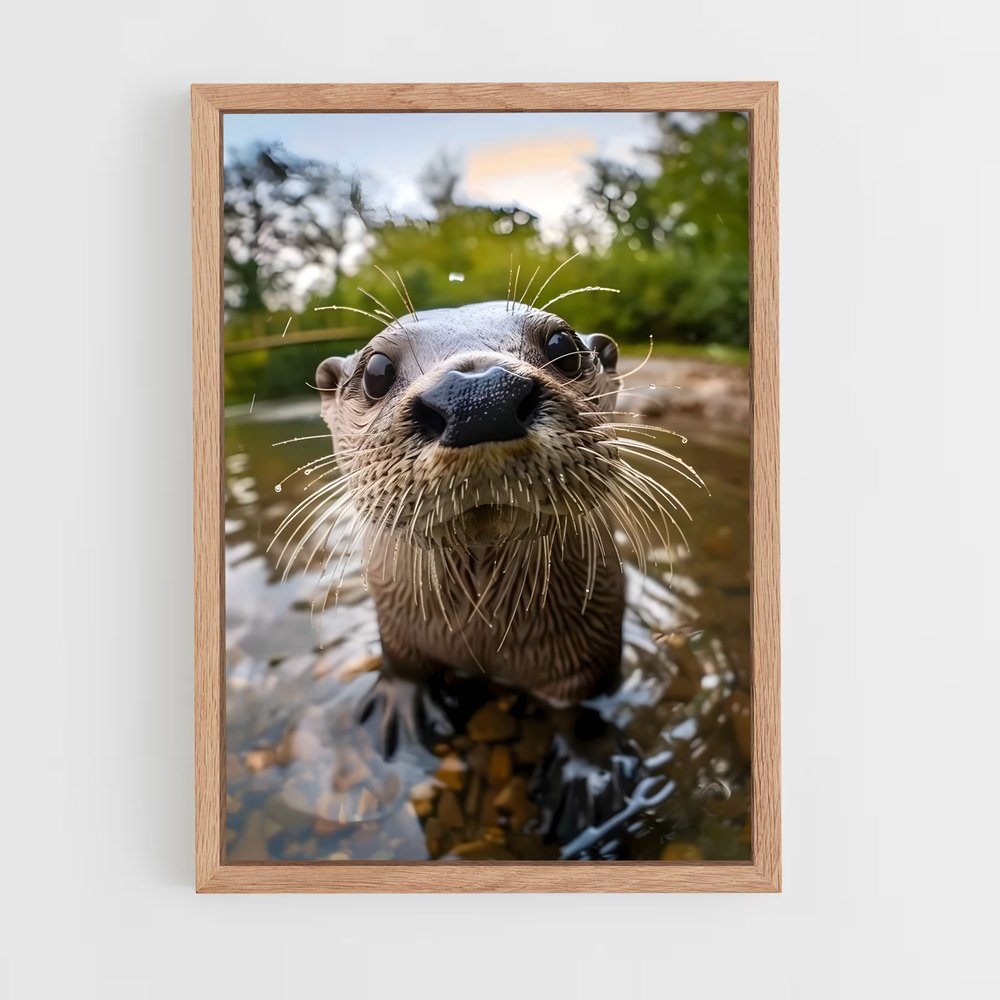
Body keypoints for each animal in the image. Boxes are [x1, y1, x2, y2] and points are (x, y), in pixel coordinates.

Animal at [309, 300, 686, 705]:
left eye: (562, 346)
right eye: (377, 372)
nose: (480, 397)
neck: (483, 633)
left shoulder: (586, 663)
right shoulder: (398, 639)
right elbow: (405, 673)